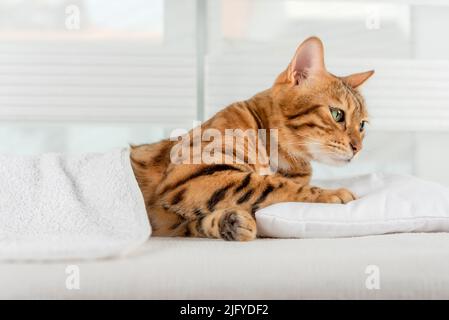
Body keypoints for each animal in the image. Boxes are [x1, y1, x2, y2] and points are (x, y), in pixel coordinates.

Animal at [131, 37, 372, 240]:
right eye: (337, 114)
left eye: (362, 125)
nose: (358, 147)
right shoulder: (189, 176)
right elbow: (267, 184)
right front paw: (331, 193)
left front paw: (230, 223)